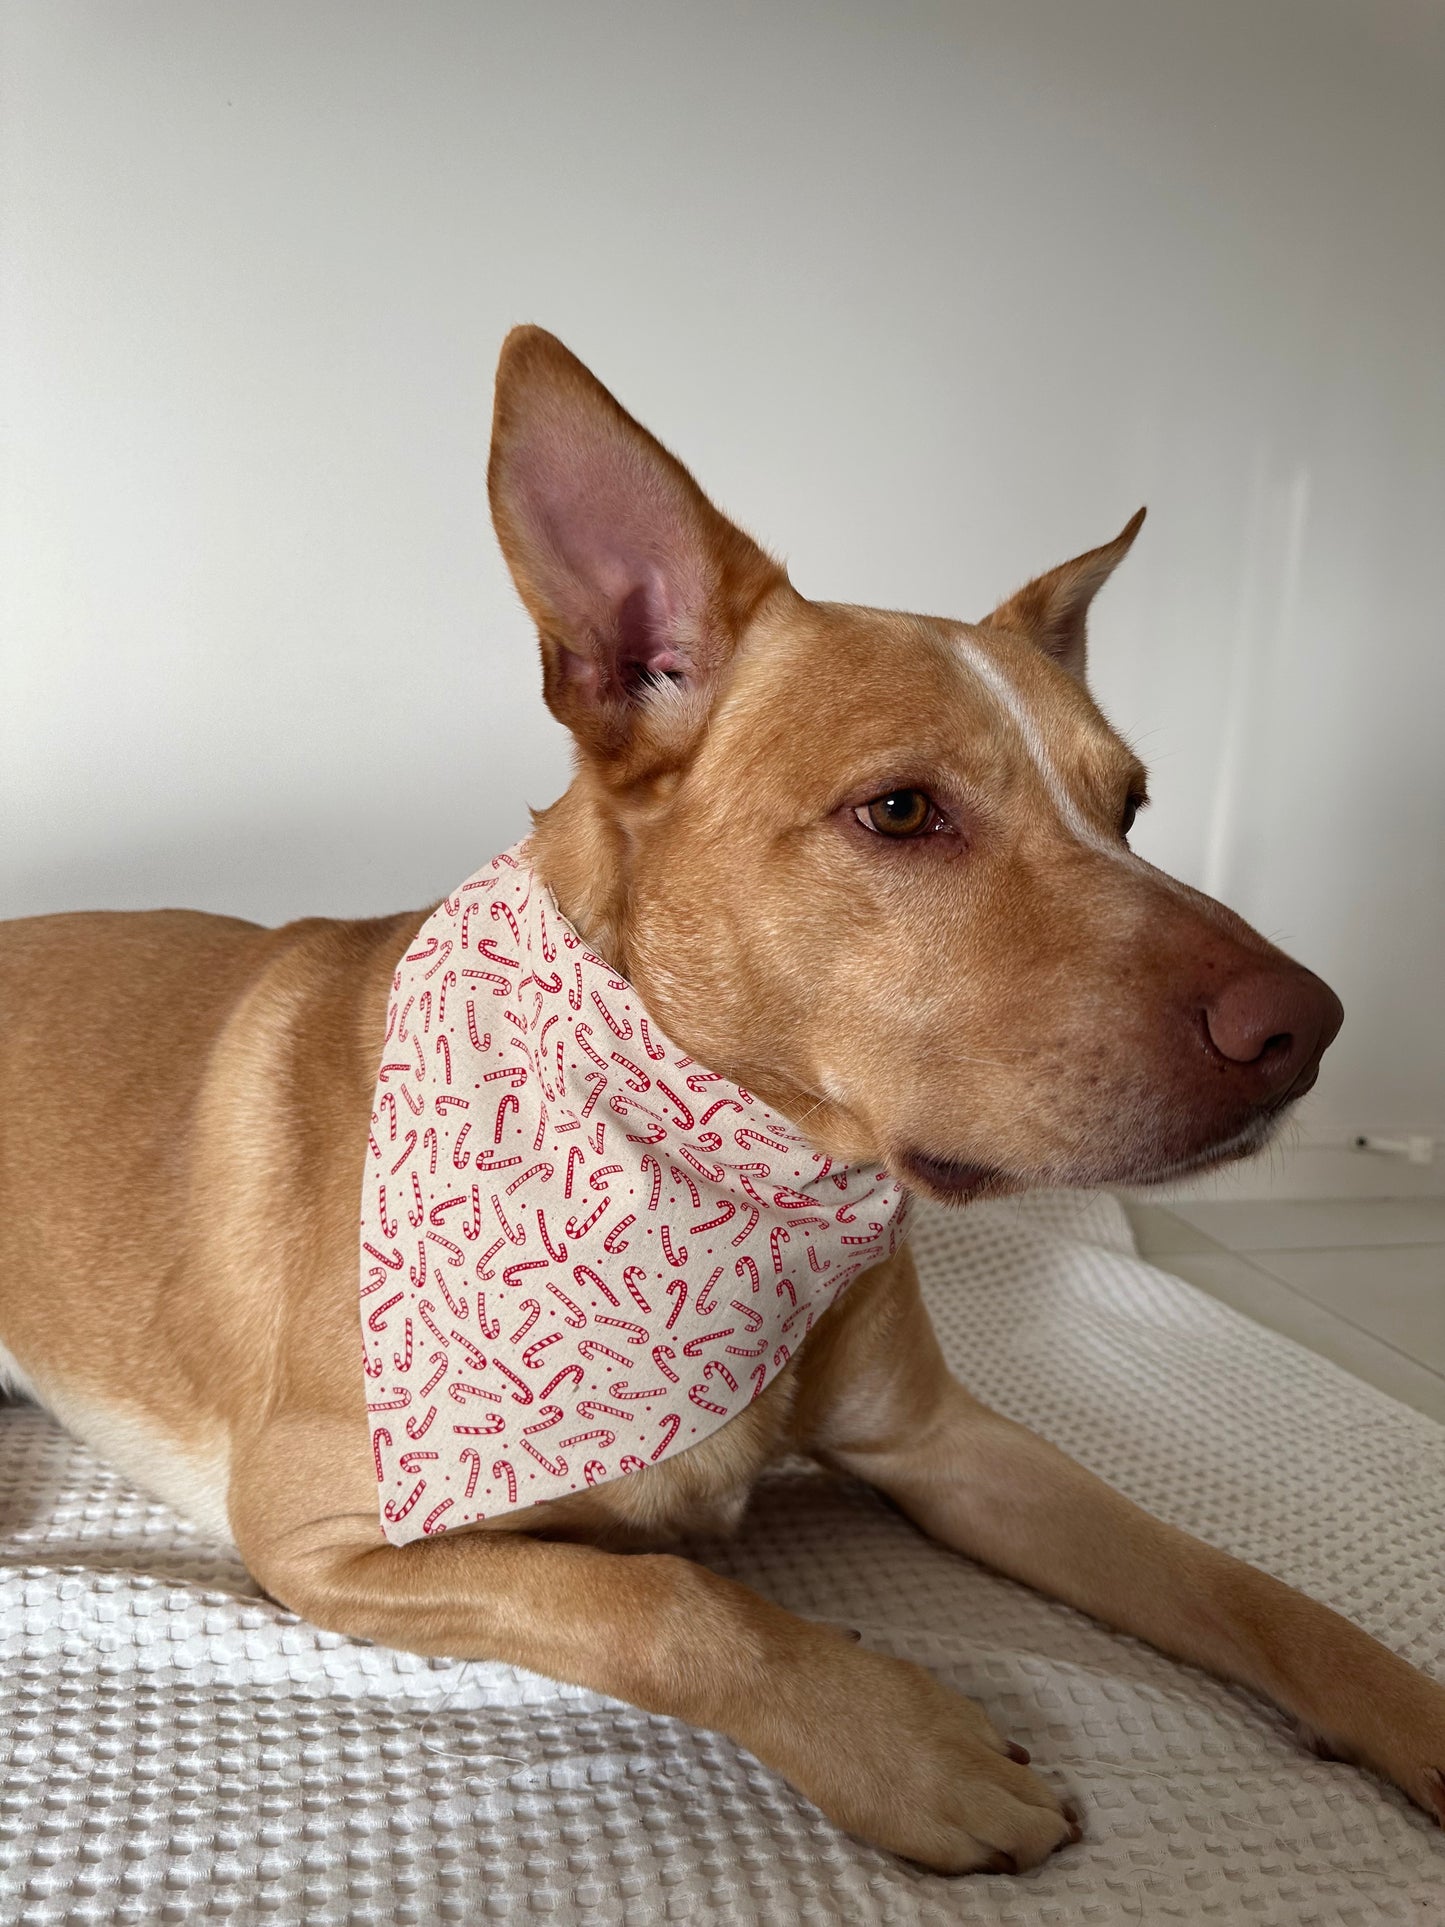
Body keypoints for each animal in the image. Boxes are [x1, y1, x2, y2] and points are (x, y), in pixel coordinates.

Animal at [0, 323, 1441, 1873]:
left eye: (1132, 807)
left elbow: (1242, 1585)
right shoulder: (322, 1532)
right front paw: (905, 1742)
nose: (1307, 1027)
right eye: (900, 810)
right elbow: (672, 1603)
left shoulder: (949, 1446)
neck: (732, 1163)